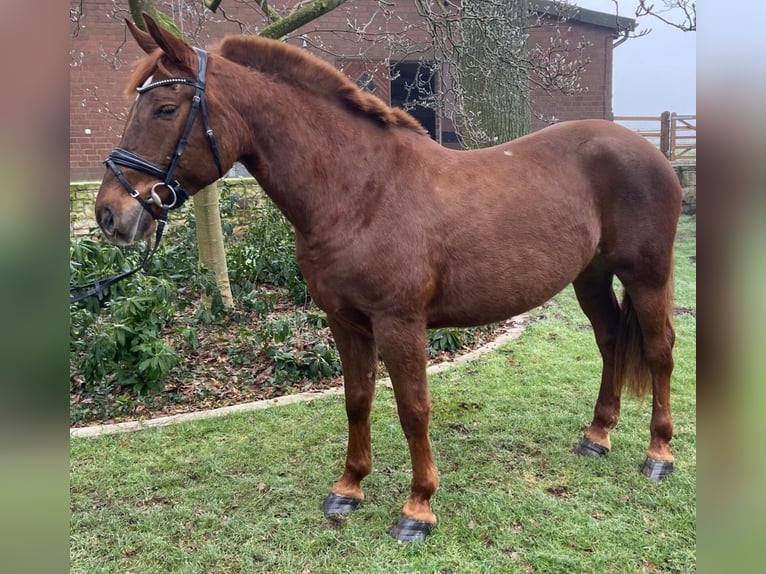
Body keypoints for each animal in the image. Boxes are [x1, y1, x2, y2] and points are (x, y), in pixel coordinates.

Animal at [96, 14, 684, 544]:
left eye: (166, 108)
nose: (109, 215)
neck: (361, 192)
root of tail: (649, 150)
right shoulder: (345, 321)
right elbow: (357, 398)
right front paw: (348, 488)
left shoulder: (401, 323)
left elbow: (413, 408)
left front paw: (418, 508)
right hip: (591, 276)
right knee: (609, 341)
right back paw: (597, 436)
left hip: (647, 276)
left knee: (659, 351)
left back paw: (658, 454)